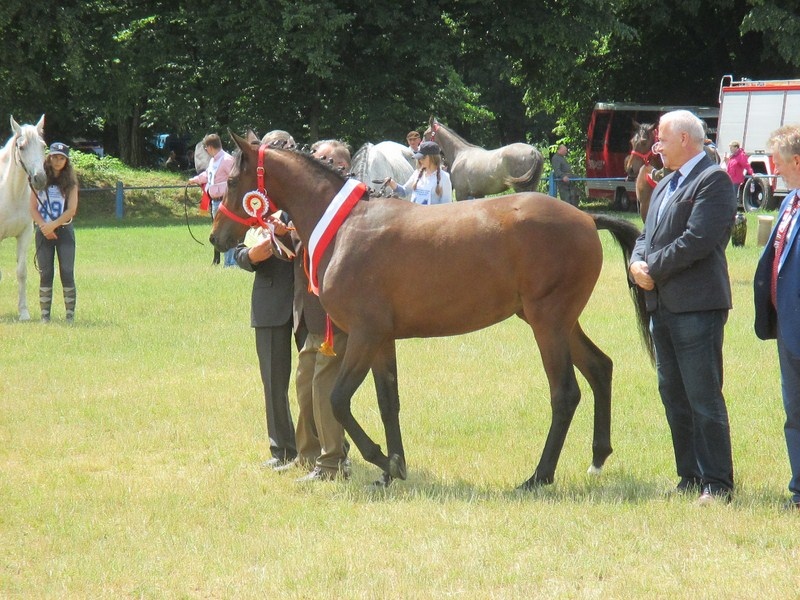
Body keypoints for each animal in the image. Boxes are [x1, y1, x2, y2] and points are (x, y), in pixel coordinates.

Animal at [210, 133, 653, 489]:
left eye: (231, 180)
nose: (218, 237)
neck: (347, 226)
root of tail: (585, 217)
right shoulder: (381, 340)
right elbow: (388, 401)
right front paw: (393, 469)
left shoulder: (363, 335)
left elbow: (338, 399)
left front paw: (380, 458)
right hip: (559, 322)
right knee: (600, 367)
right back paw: (597, 458)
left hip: (548, 323)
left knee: (565, 394)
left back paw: (539, 476)